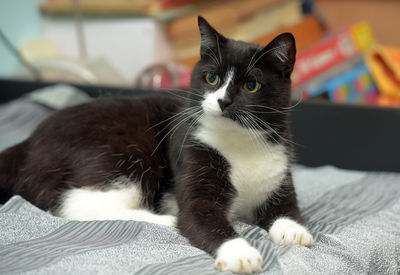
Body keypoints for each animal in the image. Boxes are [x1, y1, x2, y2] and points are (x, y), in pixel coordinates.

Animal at [0, 16, 312, 274]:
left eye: (251, 86)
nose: (223, 101)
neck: (240, 142)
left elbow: (287, 208)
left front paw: (294, 230)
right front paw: (240, 254)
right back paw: (163, 219)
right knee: (74, 204)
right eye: (211, 78)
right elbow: (200, 217)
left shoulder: (279, 170)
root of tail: (28, 143)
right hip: (126, 148)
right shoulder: (193, 165)